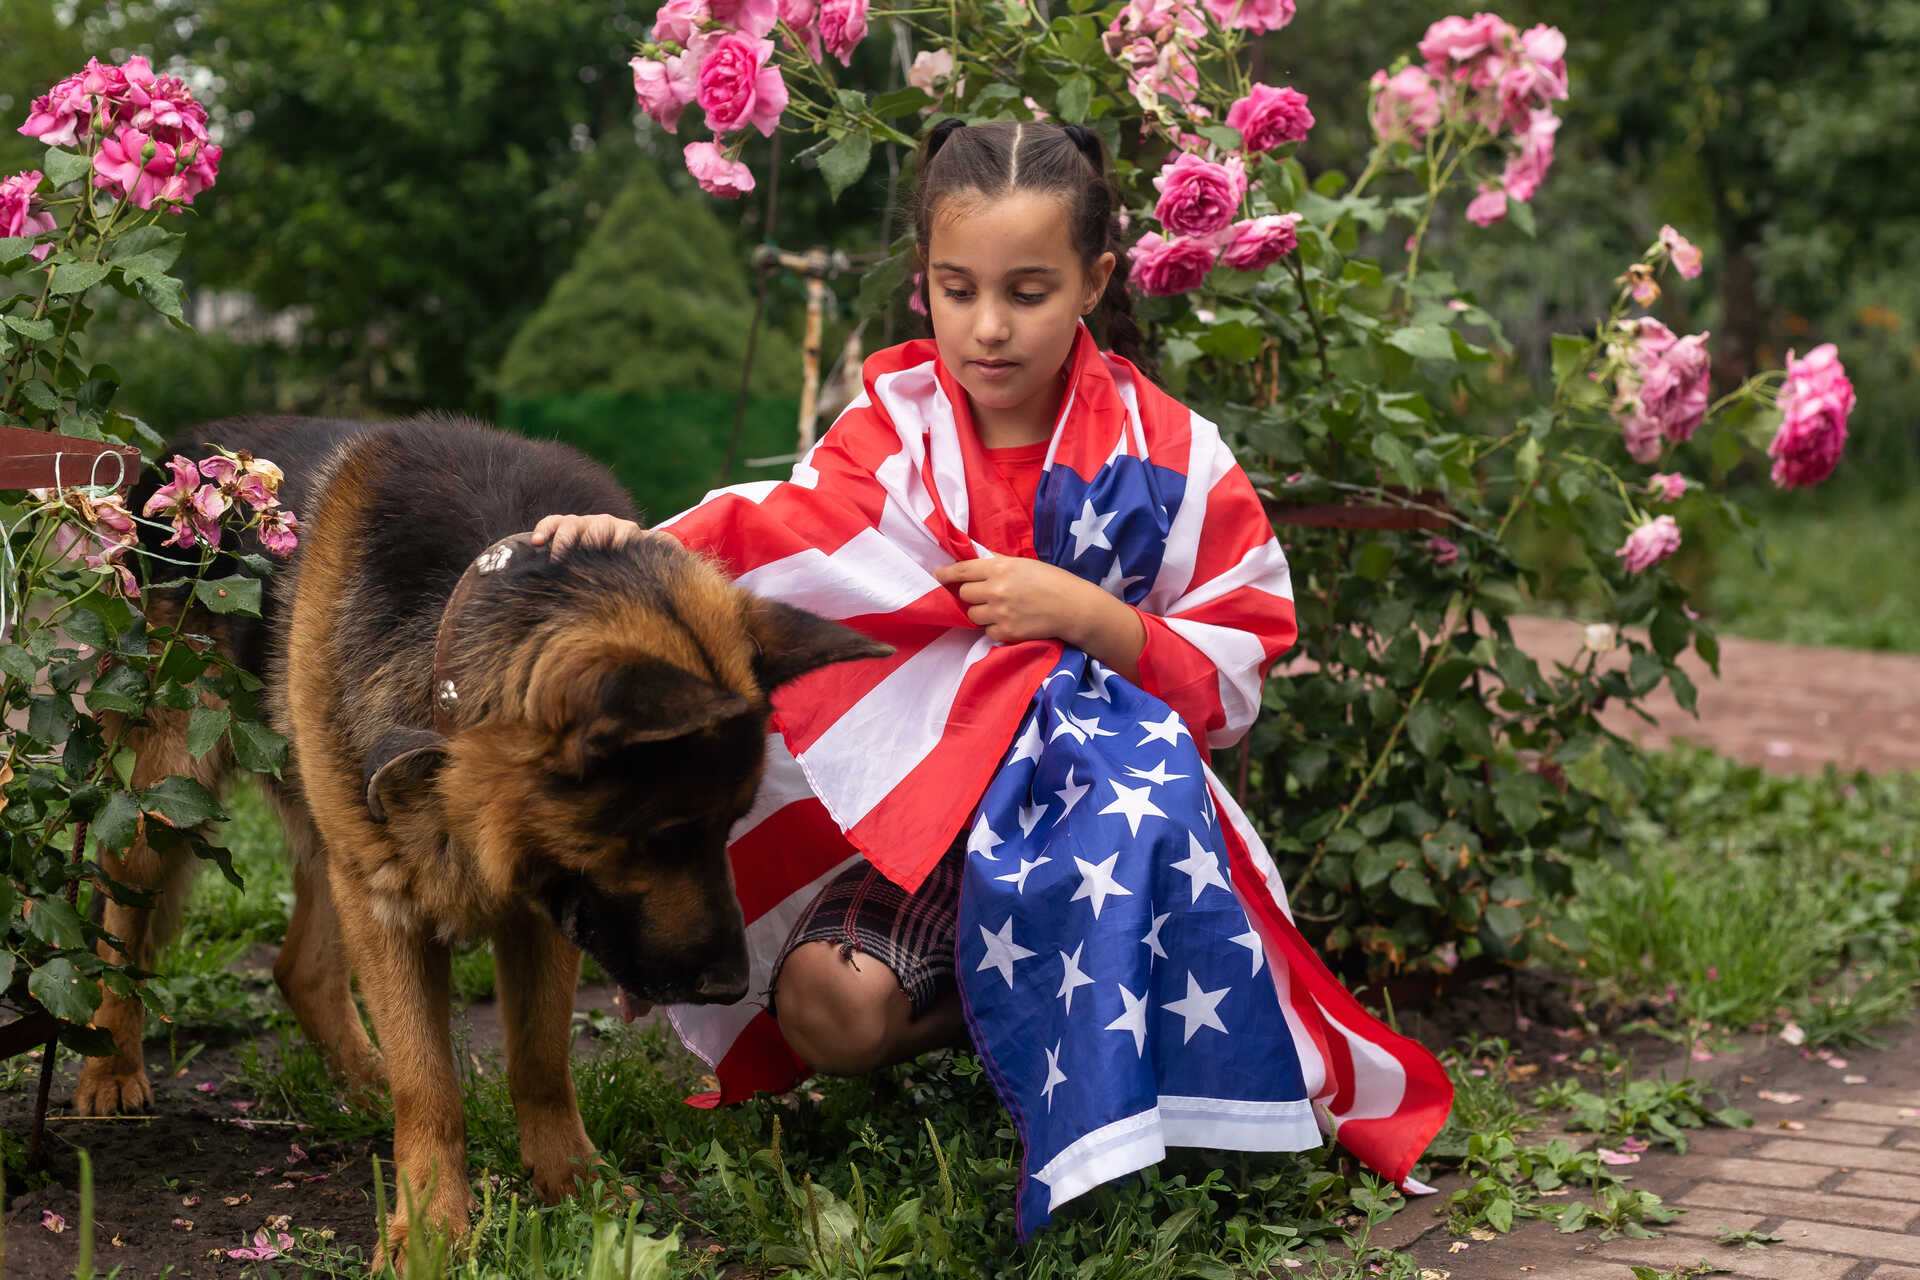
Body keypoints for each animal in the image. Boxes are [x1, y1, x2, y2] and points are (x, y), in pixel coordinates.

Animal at [74, 418, 883, 1251]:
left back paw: (364, 1085)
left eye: (730, 825)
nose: (731, 989)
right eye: (663, 836)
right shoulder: (392, 903)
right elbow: (429, 1082)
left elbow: (541, 1058)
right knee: (122, 924)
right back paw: (111, 1069)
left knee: (302, 969)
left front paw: (574, 1182)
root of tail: (189, 450)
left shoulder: (545, 908)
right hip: (168, 802)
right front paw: (431, 1223)